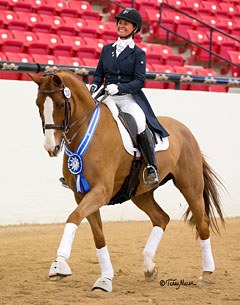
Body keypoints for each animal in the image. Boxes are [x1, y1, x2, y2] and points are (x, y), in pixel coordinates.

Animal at [29, 70, 224, 290]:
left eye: (61, 104)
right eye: (38, 104)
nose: (50, 147)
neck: (88, 132)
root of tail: (185, 130)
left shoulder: (100, 192)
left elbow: (73, 218)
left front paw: (59, 265)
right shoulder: (82, 195)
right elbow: (98, 236)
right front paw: (105, 279)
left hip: (190, 186)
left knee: (202, 223)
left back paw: (206, 273)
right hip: (141, 193)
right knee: (161, 218)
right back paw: (149, 267)